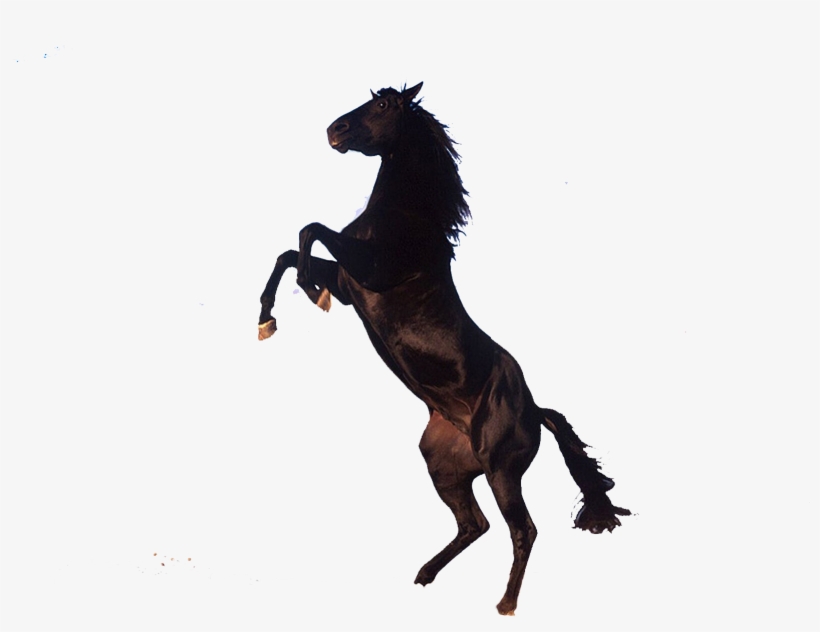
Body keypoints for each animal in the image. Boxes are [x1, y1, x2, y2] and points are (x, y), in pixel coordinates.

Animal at [257, 82, 629, 616]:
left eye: (384, 105)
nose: (334, 130)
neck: (405, 221)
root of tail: (536, 410)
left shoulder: (368, 272)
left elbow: (310, 231)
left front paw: (309, 291)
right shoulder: (351, 285)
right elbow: (289, 251)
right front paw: (266, 319)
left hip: (501, 470)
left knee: (522, 529)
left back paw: (505, 604)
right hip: (444, 466)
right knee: (475, 524)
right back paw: (424, 575)